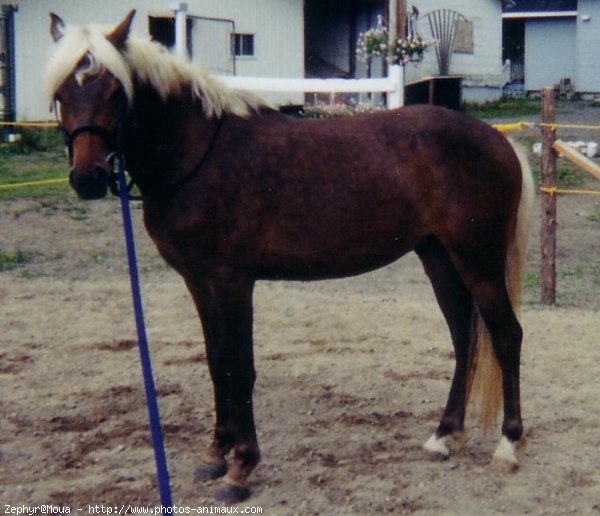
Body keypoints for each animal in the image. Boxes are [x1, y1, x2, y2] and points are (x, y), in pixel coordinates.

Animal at [47, 11, 536, 504]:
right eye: (61, 94)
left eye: (115, 90)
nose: (88, 179)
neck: (199, 153)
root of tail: (498, 142)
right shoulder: (199, 283)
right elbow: (217, 364)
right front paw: (215, 454)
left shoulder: (232, 282)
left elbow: (240, 369)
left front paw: (241, 468)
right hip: (439, 258)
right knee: (465, 338)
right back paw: (443, 436)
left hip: (478, 262)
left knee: (507, 336)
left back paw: (508, 445)